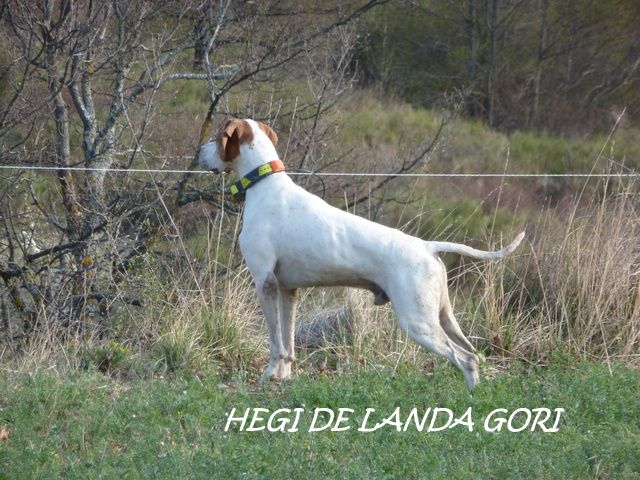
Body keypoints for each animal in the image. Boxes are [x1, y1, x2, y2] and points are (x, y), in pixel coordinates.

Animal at [200, 118, 524, 388]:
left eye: (217, 137)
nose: (199, 150)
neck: (265, 183)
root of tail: (426, 246)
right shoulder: (287, 290)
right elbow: (288, 343)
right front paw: (284, 377)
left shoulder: (264, 283)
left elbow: (275, 343)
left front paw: (269, 375)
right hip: (442, 316)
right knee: (473, 354)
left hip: (417, 322)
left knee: (464, 358)